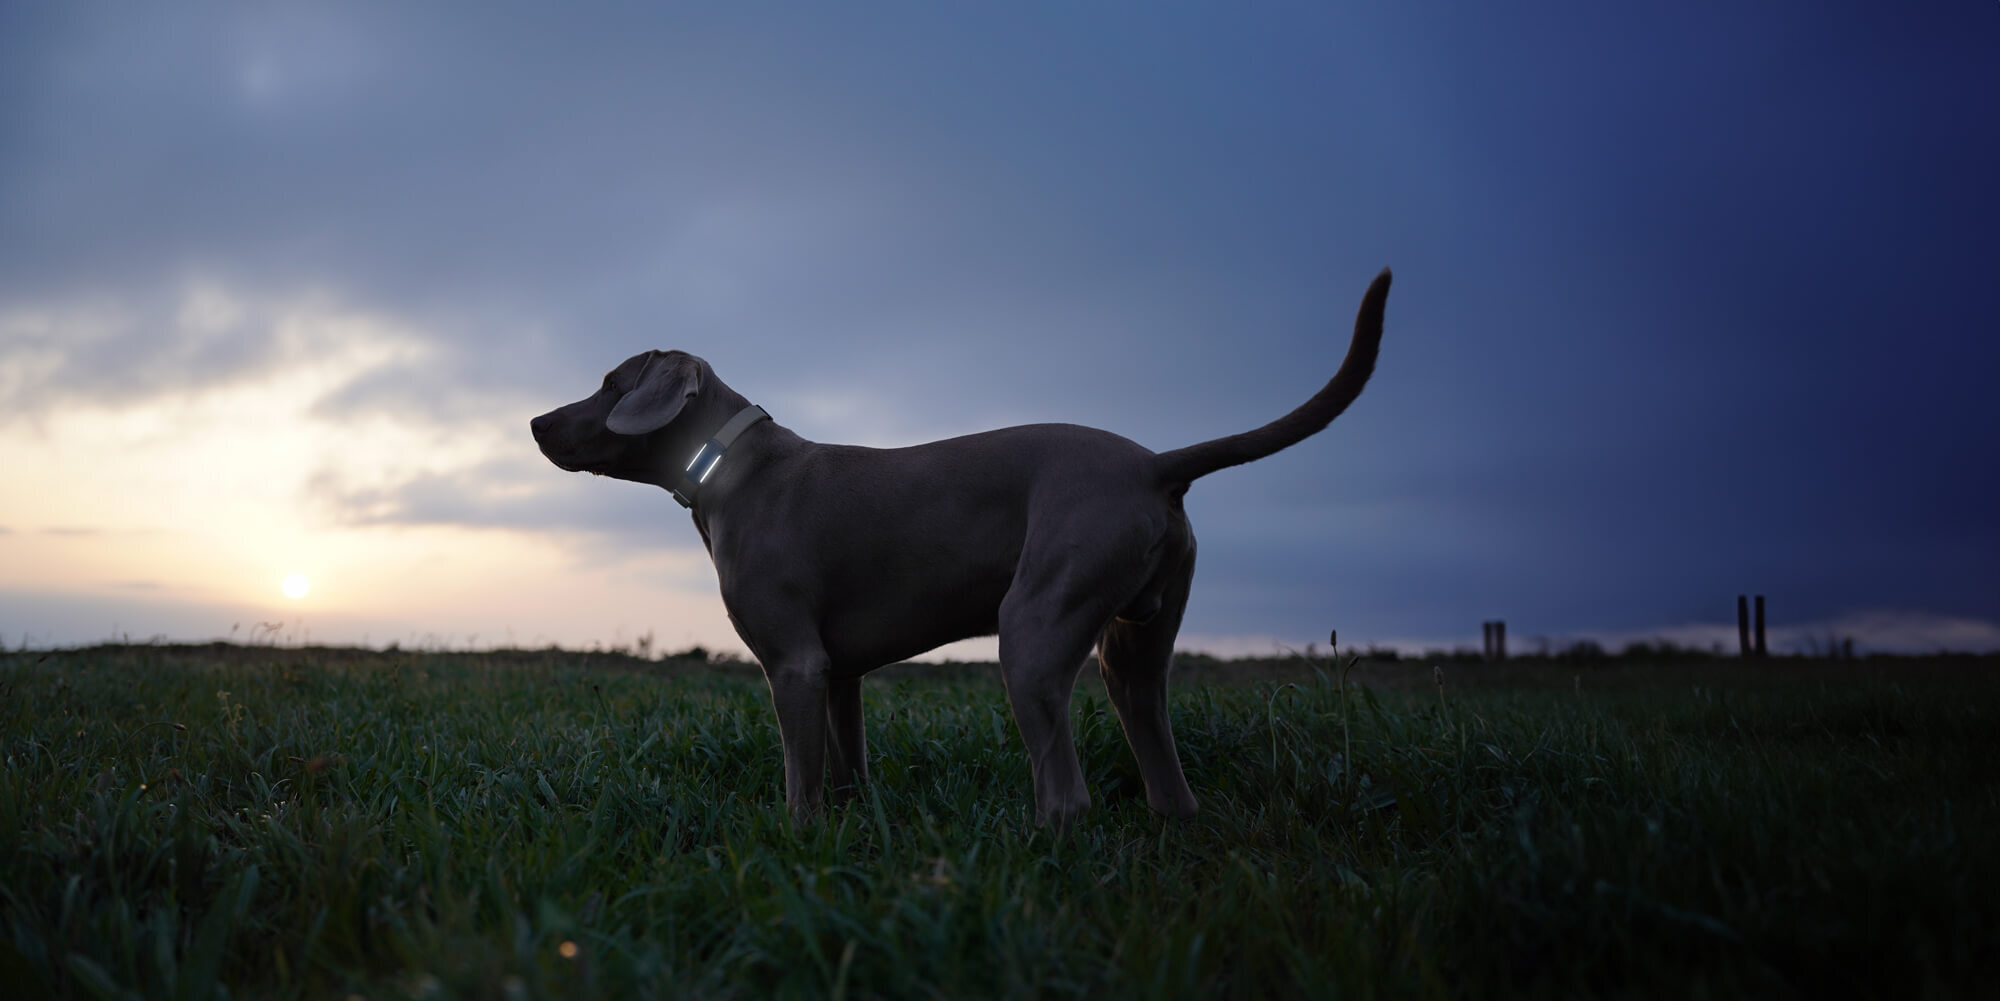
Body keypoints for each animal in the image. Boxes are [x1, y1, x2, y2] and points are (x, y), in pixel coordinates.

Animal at [536, 268, 1392, 828]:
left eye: (611, 382)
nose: (538, 422)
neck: (735, 467)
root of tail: (1155, 464)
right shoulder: (839, 673)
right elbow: (847, 770)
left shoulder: (795, 665)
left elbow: (799, 782)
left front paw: (797, 840)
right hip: (1136, 646)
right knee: (1162, 764)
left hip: (1034, 626)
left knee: (1068, 792)